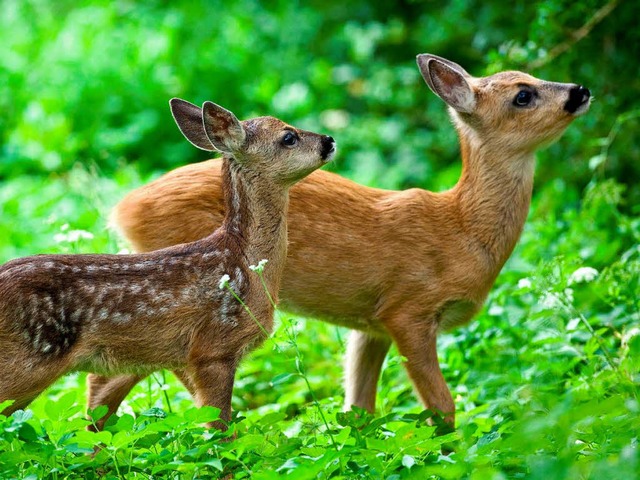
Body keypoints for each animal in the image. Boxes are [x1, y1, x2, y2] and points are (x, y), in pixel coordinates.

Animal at [0, 99, 338, 430]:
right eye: (288, 137)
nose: (329, 140)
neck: (243, 261)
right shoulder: (213, 349)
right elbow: (219, 427)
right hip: (26, 362)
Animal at [94, 52, 592, 428]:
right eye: (523, 95)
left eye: (532, 77)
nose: (580, 91)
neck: (461, 230)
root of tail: (123, 209)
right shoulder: (408, 307)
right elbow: (442, 407)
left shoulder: (371, 323)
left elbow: (359, 405)